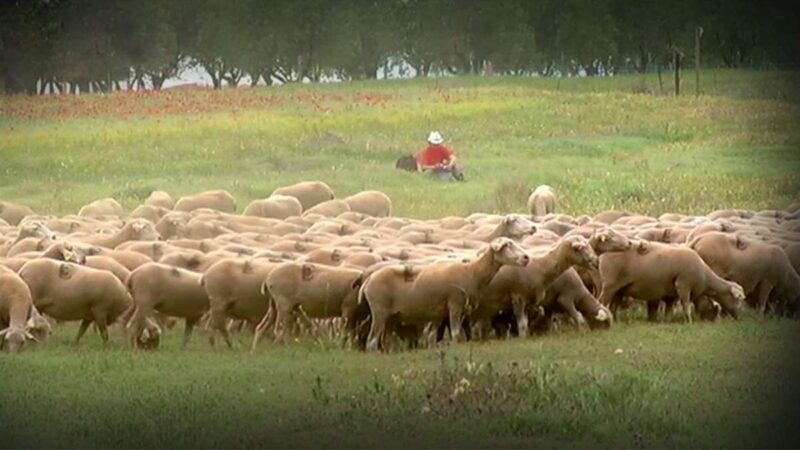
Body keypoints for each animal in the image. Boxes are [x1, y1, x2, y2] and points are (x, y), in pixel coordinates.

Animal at [362, 237, 532, 350]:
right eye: (506, 245)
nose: (526, 258)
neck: (472, 272)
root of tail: (369, 279)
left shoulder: (460, 309)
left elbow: (453, 334)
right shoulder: (455, 303)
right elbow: (455, 334)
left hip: (391, 316)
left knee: (386, 340)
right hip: (379, 311)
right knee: (371, 341)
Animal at [596, 241, 748, 322]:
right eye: (739, 298)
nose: (740, 317)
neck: (705, 277)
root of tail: (604, 254)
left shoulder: (670, 293)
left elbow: (669, 308)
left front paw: (667, 321)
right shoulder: (683, 284)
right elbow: (686, 305)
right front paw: (689, 321)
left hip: (619, 289)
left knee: (613, 305)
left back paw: (615, 320)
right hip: (609, 285)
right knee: (601, 301)